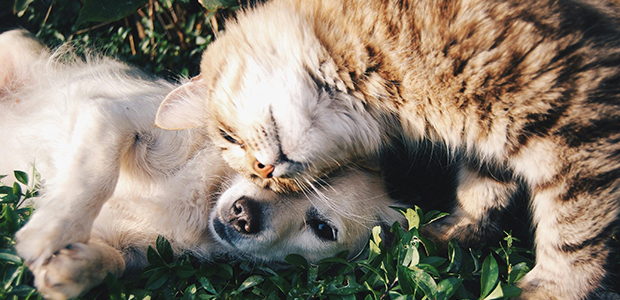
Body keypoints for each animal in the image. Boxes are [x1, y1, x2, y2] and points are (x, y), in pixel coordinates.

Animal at [0, 28, 404, 300]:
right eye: (265, 167)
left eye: (322, 229)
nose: (244, 215)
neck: (203, 198)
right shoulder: (112, 115)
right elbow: (94, 176)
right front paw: (50, 231)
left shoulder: (136, 250)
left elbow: (113, 262)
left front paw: (72, 268)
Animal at [155, 0, 620, 298]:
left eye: (229, 138)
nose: (265, 171)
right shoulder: (493, 135)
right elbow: (482, 190)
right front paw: (449, 234)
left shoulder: (575, 116)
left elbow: (573, 233)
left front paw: (553, 290)